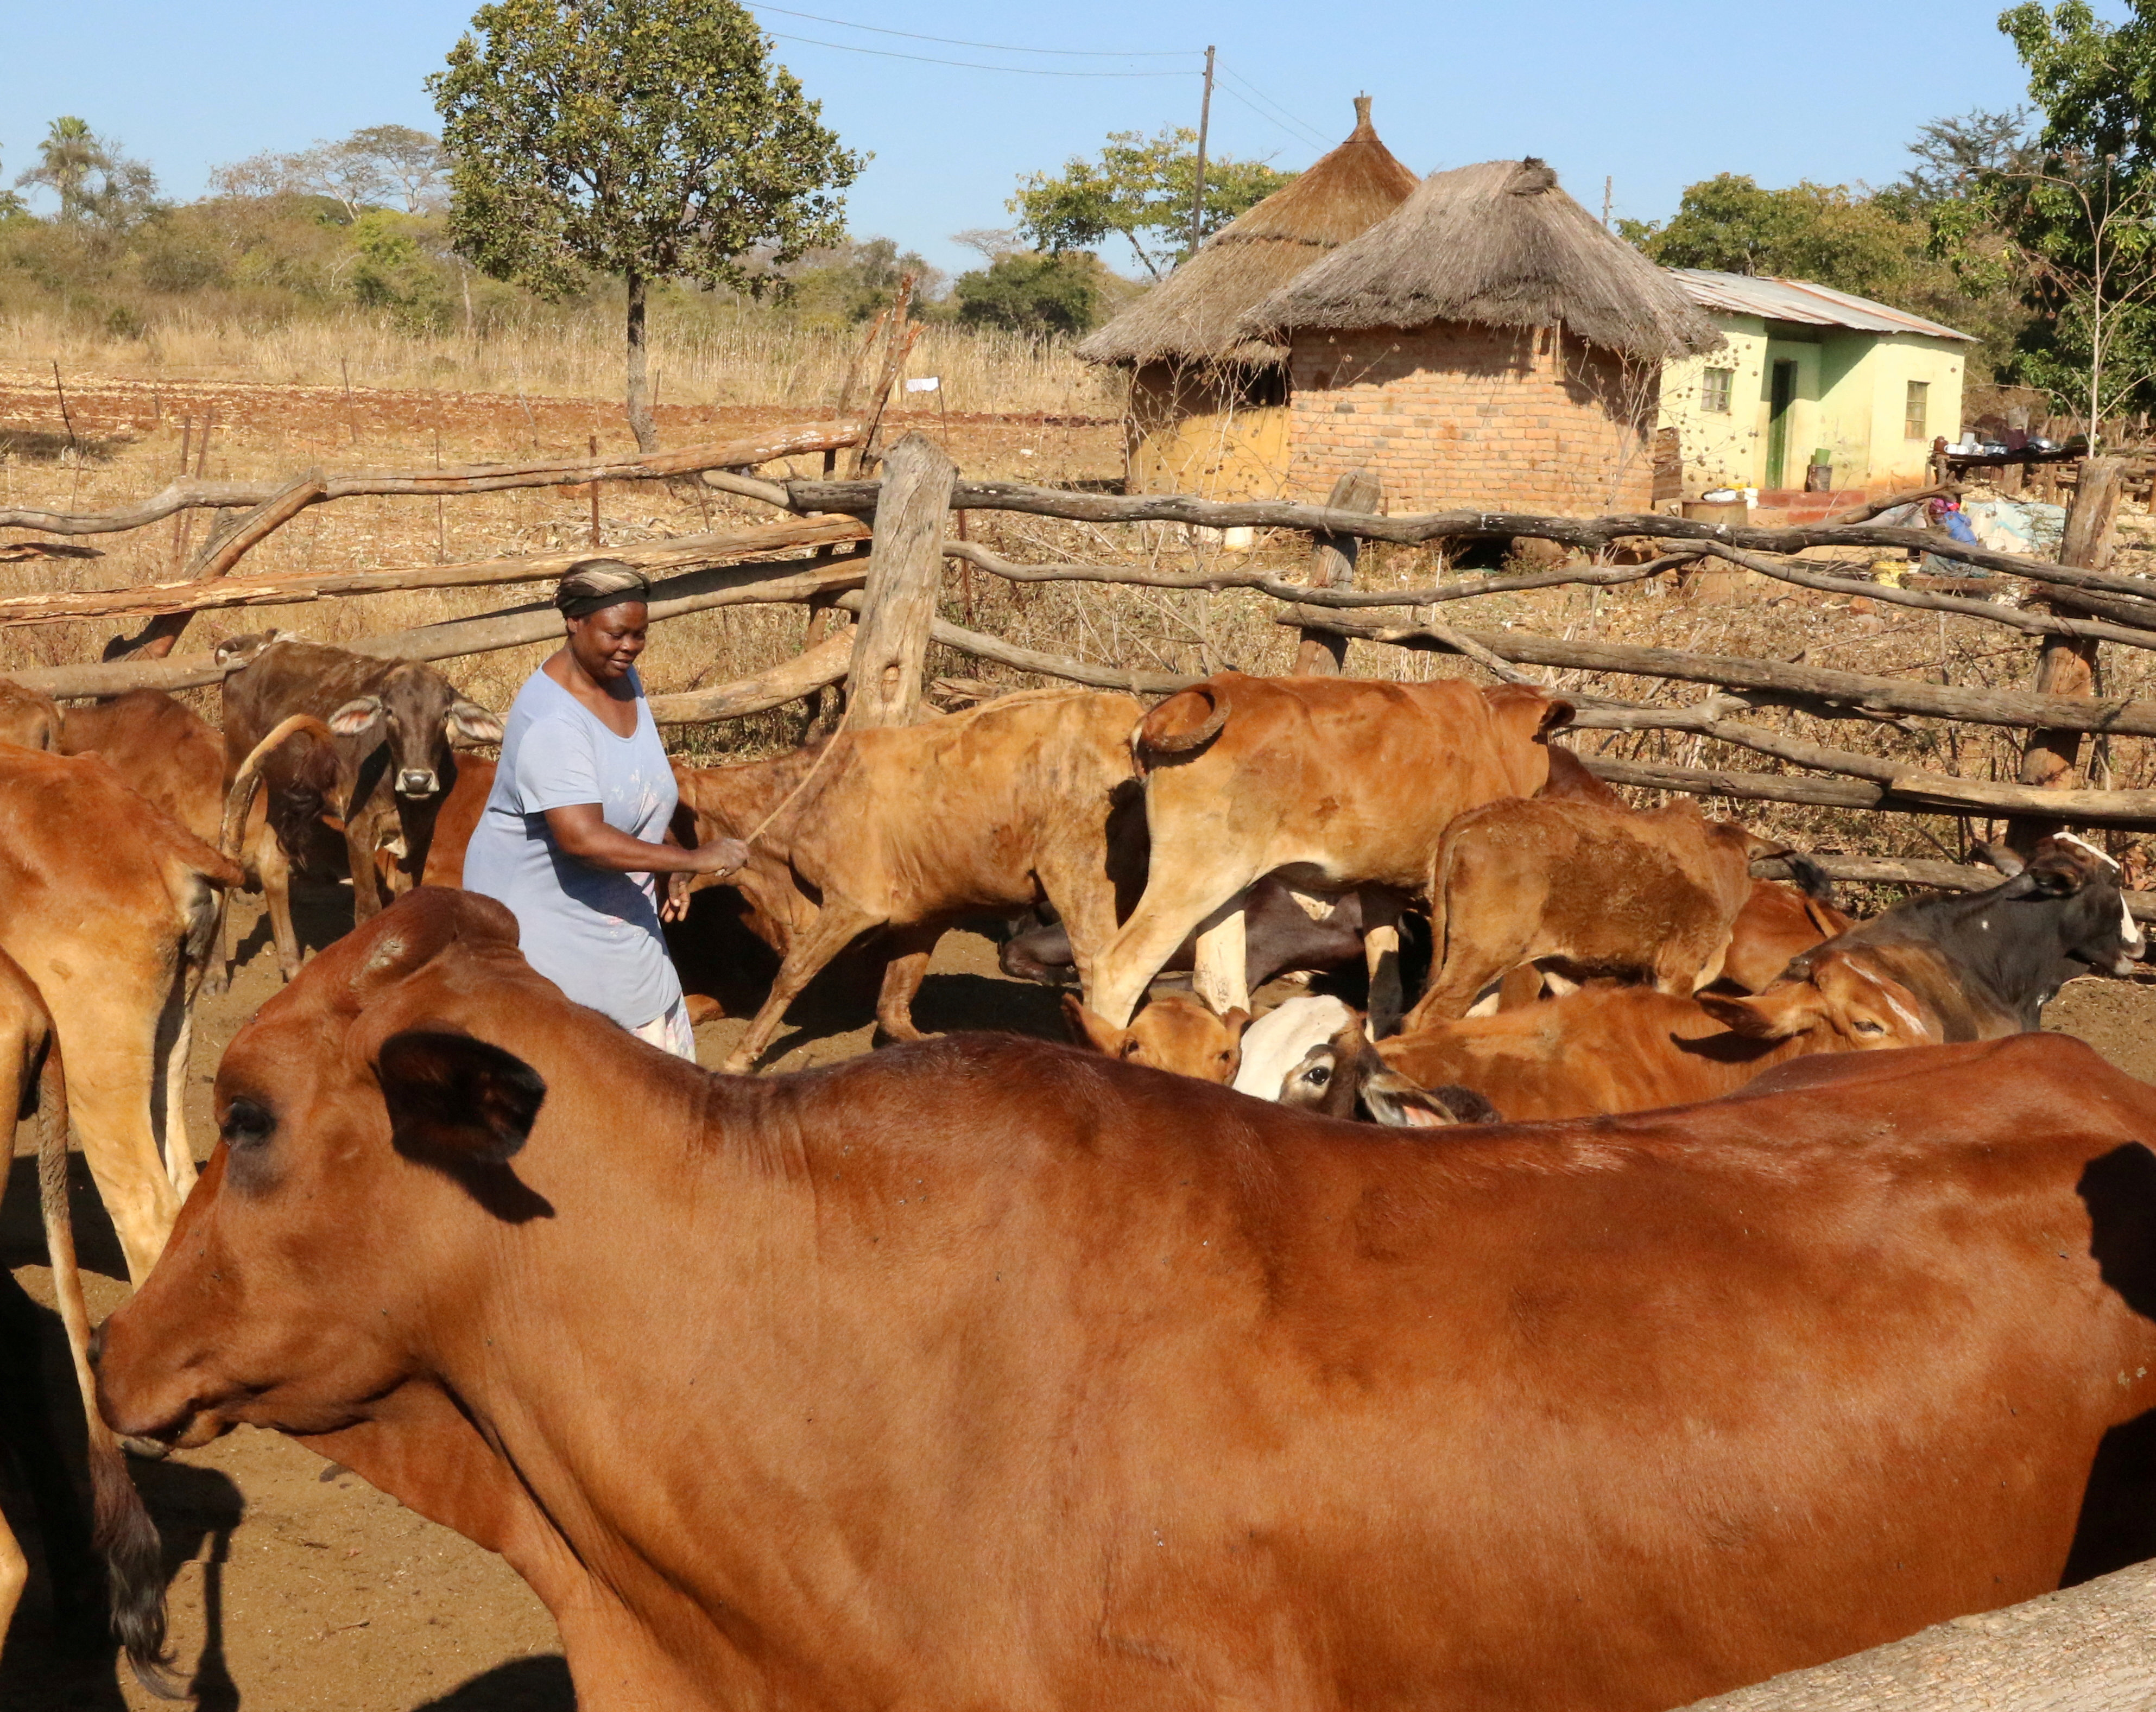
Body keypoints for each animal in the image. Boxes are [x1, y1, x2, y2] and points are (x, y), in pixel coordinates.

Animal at [676, 686, 1147, 1069]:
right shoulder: (922, 914)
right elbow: (894, 1006)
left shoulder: (855, 903)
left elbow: (791, 973)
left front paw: (740, 1056)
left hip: (1080, 880)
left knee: (1104, 971)